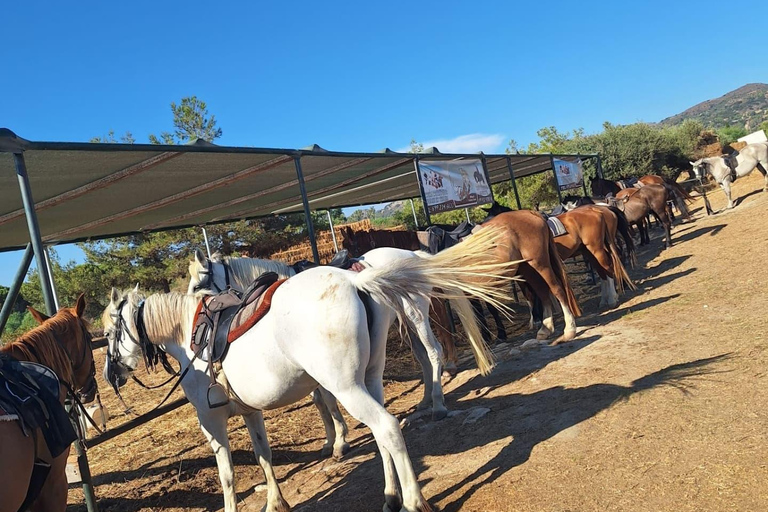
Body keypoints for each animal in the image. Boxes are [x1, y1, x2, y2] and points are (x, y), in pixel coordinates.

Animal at [103, 229, 516, 512]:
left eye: (108, 332)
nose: (111, 375)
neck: (189, 333)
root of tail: (356, 279)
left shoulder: (212, 421)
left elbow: (227, 474)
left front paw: (337, 443)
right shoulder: (252, 412)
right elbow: (264, 454)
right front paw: (278, 499)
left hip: (373, 360)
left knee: (395, 414)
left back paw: (416, 490)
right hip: (371, 375)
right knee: (387, 420)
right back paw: (391, 491)